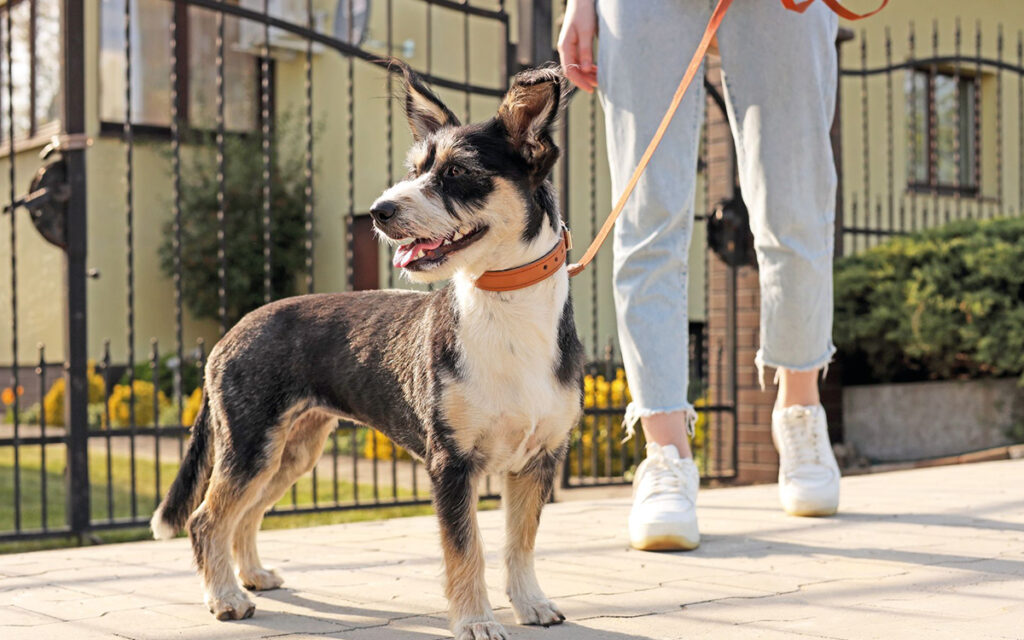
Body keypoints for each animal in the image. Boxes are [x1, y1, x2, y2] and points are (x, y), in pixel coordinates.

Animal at [151, 61, 585, 638]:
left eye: (457, 171)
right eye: (416, 167)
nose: (380, 211)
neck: (507, 315)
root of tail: (228, 336)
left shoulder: (538, 459)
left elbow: (521, 542)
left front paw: (531, 603)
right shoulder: (450, 463)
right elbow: (466, 551)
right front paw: (475, 620)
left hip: (291, 450)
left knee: (244, 514)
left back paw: (253, 576)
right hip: (250, 444)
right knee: (207, 518)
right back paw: (225, 598)